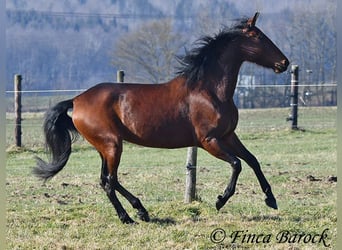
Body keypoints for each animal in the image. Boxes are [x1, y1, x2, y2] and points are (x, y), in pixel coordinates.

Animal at [34, 12, 288, 224]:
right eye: (259, 37)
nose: (284, 63)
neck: (210, 90)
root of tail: (76, 100)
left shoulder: (228, 136)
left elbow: (253, 160)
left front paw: (271, 200)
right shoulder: (208, 141)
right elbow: (237, 164)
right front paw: (220, 200)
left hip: (104, 148)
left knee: (105, 180)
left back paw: (138, 212)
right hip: (112, 145)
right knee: (110, 181)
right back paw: (132, 216)